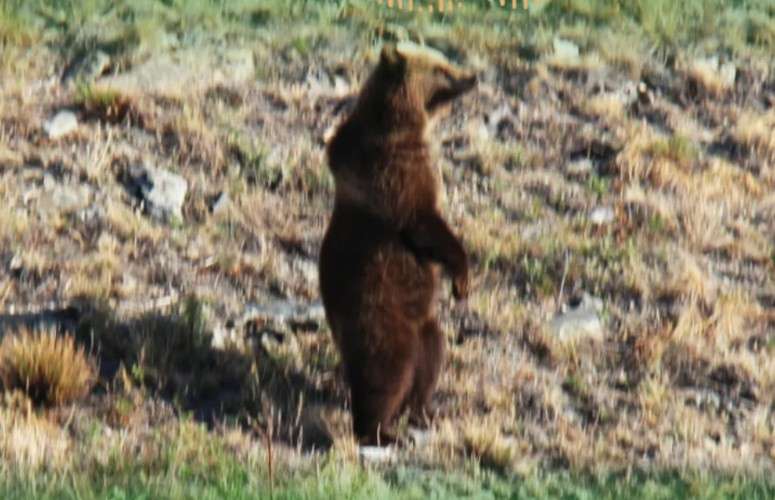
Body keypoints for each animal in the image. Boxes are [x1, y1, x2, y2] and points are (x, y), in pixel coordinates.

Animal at [319, 42, 476, 447]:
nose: (472, 76)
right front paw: (462, 280)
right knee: (387, 371)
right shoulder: (394, 175)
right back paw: (380, 430)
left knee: (431, 355)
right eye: (442, 68)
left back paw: (423, 411)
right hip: (381, 314)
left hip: (421, 320)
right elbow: (425, 224)